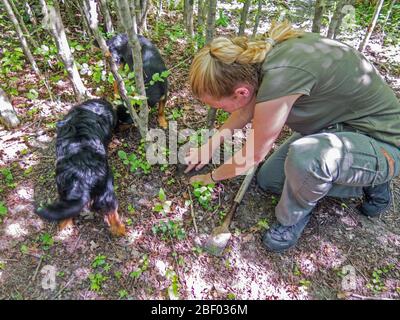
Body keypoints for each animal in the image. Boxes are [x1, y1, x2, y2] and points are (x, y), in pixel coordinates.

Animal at [36, 99, 126, 236]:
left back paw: (65, 226)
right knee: (113, 213)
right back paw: (120, 230)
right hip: (107, 190)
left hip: (64, 191)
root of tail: (82, 179)